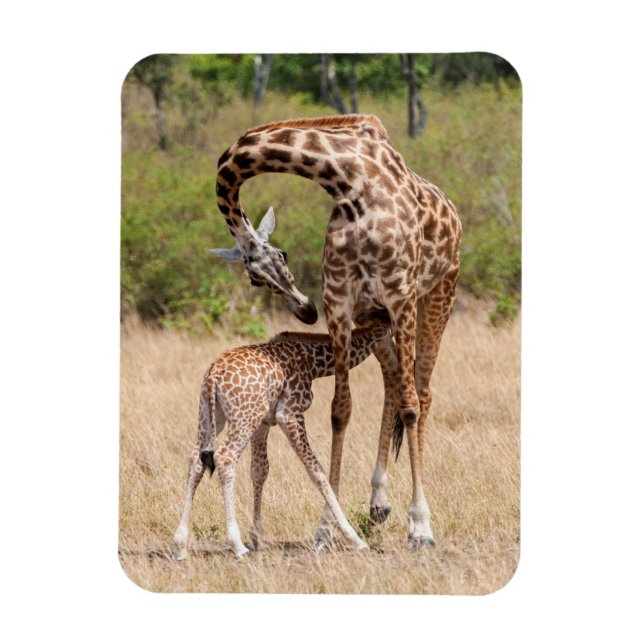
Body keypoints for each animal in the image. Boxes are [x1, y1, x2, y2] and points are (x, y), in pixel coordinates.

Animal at [172, 311, 391, 559]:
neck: (313, 362)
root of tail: (213, 376)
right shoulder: (290, 414)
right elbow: (316, 471)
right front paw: (354, 538)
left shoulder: (263, 423)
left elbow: (259, 471)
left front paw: (257, 537)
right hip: (242, 417)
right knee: (225, 458)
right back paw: (237, 544)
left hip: (211, 416)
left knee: (196, 460)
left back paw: (180, 545)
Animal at [211, 114, 461, 548]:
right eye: (255, 279)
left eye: (282, 255)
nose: (305, 310)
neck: (349, 182)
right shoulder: (342, 302)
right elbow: (340, 411)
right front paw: (326, 527)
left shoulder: (400, 294)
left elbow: (411, 406)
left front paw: (421, 527)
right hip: (374, 316)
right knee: (392, 381)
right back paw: (378, 503)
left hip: (438, 296)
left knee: (421, 393)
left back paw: (412, 517)